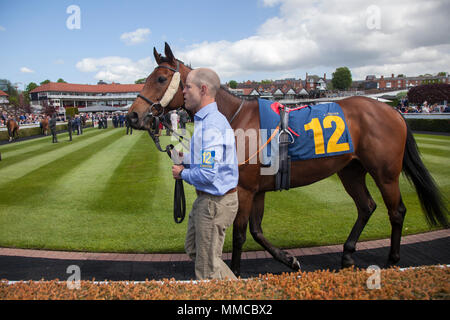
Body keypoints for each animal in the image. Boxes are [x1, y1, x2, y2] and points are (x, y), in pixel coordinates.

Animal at [127, 42, 450, 276]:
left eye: (160, 78)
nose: (132, 116)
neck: (235, 119)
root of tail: (393, 111)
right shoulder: (257, 190)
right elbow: (257, 231)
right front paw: (289, 260)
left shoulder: (244, 189)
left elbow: (240, 234)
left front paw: (236, 273)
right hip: (351, 169)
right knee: (366, 206)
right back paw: (347, 253)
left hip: (385, 172)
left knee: (396, 211)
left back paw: (393, 260)